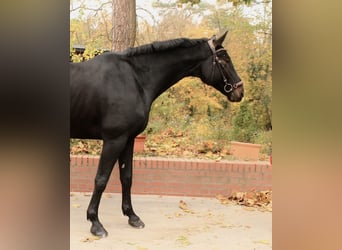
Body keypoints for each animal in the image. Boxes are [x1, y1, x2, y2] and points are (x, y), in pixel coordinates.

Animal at [71, 31, 244, 236]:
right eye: (224, 60)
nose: (240, 91)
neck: (134, 79)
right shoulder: (114, 140)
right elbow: (101, 179)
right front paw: (95, 222)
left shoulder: (128, 139)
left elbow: (126, 178)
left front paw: (132, 217)